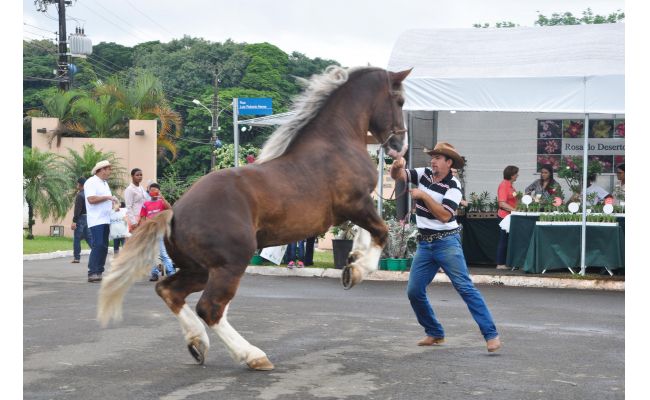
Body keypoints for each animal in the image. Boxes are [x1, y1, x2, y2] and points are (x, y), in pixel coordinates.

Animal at [96, 65, 410, 368]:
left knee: (169, 291)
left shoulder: (355, 208)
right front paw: (356, 270)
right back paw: (252, 356)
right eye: (400, 100)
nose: (399, 145)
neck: (337, 141)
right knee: (210, 308)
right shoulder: (355, 203)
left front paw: (353, 259)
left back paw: (198, 343)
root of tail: (174, 214)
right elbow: (380, 231)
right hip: (231, 263)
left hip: (200, 269)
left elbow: (365, 232)